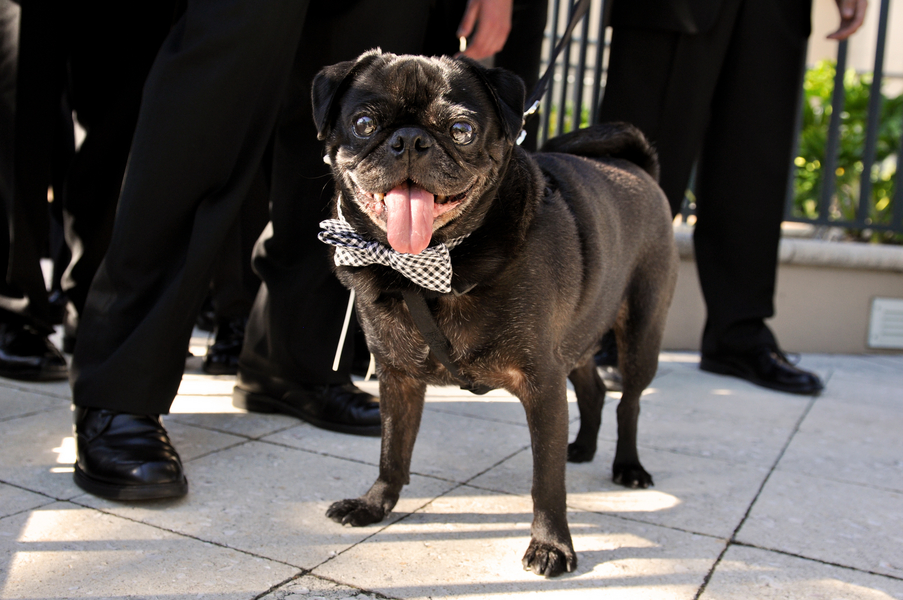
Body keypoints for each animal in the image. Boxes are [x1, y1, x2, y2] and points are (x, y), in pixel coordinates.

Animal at [314, 50, 676, 576]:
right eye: (364, 125)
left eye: (461, 130)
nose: (409, 140)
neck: (429, 268)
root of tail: (638, 166)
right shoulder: (398, 378)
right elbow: (392, 451)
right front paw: (374, 504)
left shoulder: (542, 383)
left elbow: (546, 481)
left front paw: (551, 544)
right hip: (577, 339)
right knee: (591, 391)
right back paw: (582, 448)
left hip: (640, 334)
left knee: (628, 403)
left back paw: (626, 466)